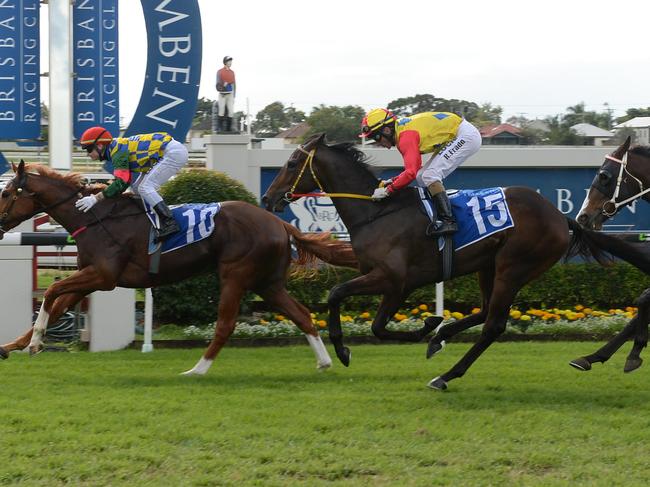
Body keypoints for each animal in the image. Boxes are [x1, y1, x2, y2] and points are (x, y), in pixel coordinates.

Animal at [0, 162, 354, 376]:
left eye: (5, 192)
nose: (0, 225)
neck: (94, 218)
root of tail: (280, 223)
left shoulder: (103, 276)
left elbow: (51, 292)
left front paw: (35, 344)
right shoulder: (91, 279)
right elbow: (57, 306)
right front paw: (12, 346)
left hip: (236, 275)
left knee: (225, 325)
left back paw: (197, 370)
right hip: (267, 283)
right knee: (302, 314)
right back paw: (325, 361)